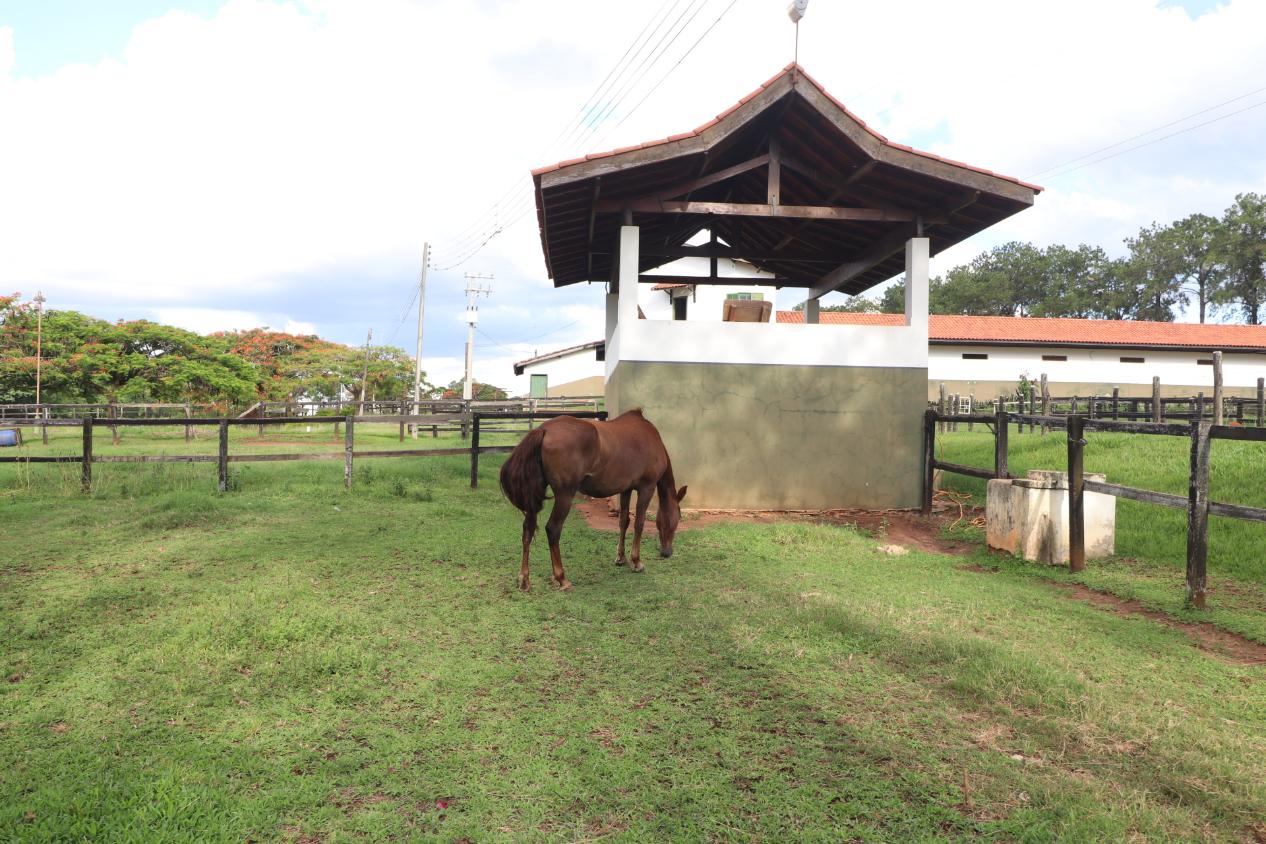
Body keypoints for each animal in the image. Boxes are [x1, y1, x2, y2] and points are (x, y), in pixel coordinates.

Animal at [498, 407, 688, 592]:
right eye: (677, 520)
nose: (667, 552)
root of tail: (544, 429)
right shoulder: (646, 488)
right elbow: (639, 523)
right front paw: (636, 561)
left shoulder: (625, 490)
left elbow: (623, 521)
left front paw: (620, 558)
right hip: (565, 495)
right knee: (553, 529)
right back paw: (561, 579)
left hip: (534, 500)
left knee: (528, 530)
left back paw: (524, 580)